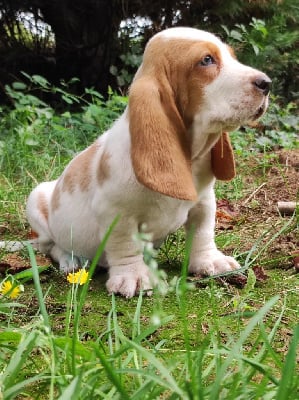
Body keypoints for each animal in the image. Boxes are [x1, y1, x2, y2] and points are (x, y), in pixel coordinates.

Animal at [25, 27, 272, 296]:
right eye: (206, 60)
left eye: (232, 56)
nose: (267, 83)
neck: (190, 155)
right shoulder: (116, 213)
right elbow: (125, 244)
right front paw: (133, 277)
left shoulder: (205, 201)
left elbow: (203, 232)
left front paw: (211, 261)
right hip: (36, 202)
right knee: (50, 246)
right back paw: (71, 260)